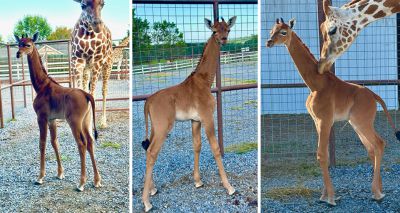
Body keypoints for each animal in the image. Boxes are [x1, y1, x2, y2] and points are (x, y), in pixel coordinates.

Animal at [16, 32, 101, 191]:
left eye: (28, 45)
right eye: (19, 44)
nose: (18, 53)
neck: (41, 86)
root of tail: (87, 95)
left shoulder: (41, 117)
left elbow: (42, 143)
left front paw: (40, 177)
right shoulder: (52, 119)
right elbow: (54, 142)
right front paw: (60, 173)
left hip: (74, 121)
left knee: (81, 144)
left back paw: (81, 184)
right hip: (86, 121)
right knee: (90, 142)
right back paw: (97, 181)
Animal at [141, 16, 236, 211]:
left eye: (228, 29)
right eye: (214, 31)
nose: (223, 39)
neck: (205, 81)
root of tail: (148, 102)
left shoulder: (195, 120)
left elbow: (197, 146)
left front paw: (198, 181)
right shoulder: (207, 117)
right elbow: (215, 148)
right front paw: (229, 187)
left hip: (155, 127)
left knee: (147, 149)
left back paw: (153, 189)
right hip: (163, 126)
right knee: (152, 152)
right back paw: (146, 202)